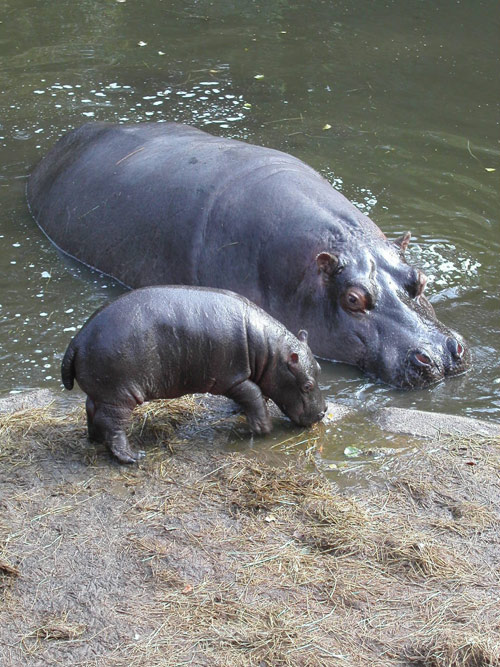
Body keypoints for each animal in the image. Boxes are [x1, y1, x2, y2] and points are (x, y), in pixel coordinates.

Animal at [60, 288, 326, 464]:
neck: (270, 352)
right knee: (111, 423)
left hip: (102, 391)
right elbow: (254, 395)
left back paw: (95, 440)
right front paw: (262, 429)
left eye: (320, 369)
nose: (323, 412)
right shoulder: (234, 378)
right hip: (119, 395)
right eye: (307, 385)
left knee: (91, 410)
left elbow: (255, 397)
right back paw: (133, 457)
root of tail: (77, 340)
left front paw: (240, 413)